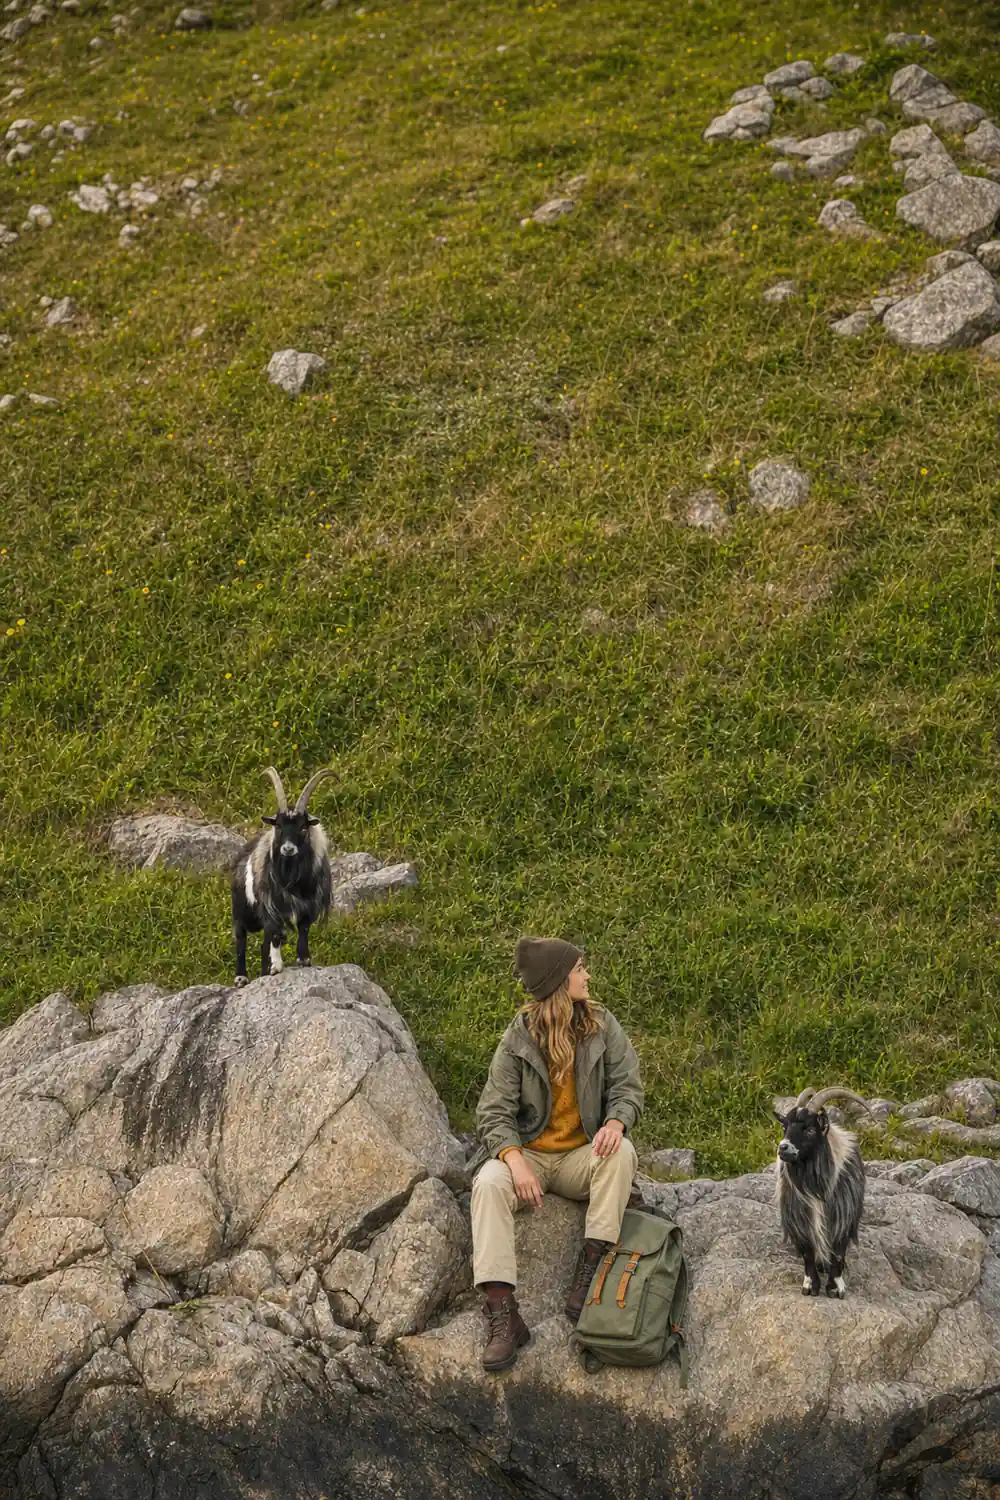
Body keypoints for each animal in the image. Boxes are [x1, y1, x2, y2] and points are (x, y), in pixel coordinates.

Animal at [231, 767, 334, 988]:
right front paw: (277, 967)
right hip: (240, 910)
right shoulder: (271, 906)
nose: (287, 848)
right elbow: (276, 935)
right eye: (278, 826)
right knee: (241, 939)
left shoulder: (309, 905)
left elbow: (303, 928)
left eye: (303, 827)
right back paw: (241, 978)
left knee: (264, 943)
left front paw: (304, 959)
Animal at [774, 1086, 868, 1299]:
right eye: (785, 1127)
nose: (783, 1148)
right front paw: (810, 1286)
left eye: (809, 1129)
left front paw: (835, 1288)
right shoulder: (799, 1218)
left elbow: (838, 1252)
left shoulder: (843, 1216)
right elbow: (807, 1252)